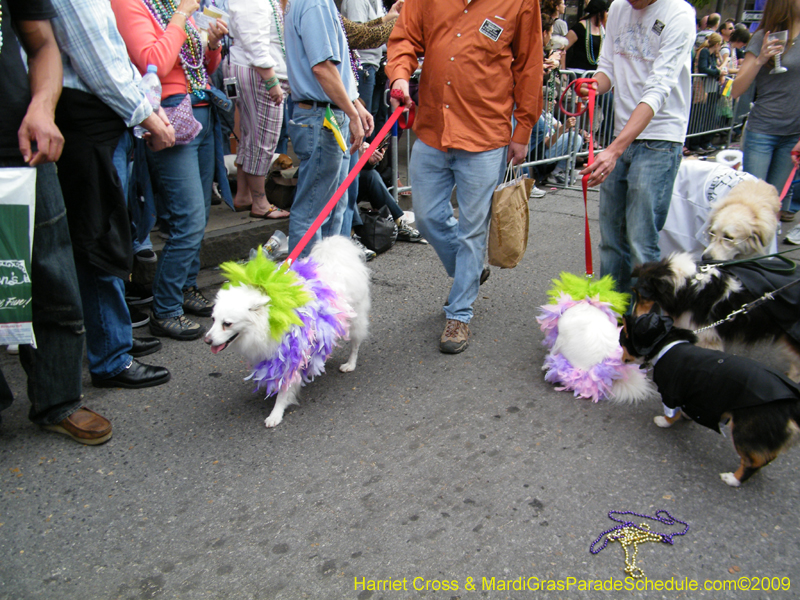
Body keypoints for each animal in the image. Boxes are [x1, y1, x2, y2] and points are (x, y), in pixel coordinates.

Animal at [205, 234, 370, 426]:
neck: (270, 318)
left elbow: (285, 389)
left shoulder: (290, 354)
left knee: (355, 345)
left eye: (228, 323)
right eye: (213, 320)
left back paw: (350, 364)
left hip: (355, 322)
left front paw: (276, 413)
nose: (207, 340)